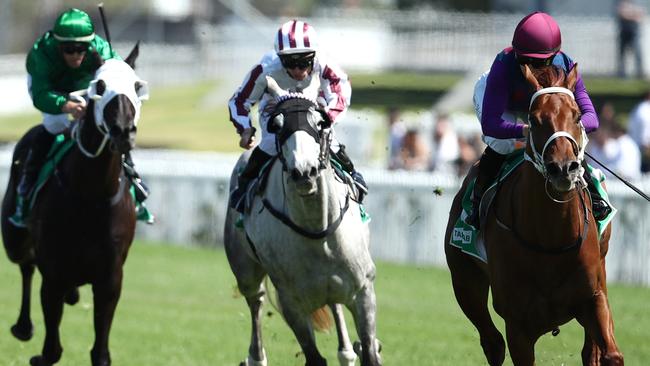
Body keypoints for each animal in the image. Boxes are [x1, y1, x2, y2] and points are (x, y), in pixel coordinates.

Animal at [0, 43, 147, 366]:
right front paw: (39, 355)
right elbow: (51, 349)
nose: (123, 131)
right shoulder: (53, 271)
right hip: (14, 239)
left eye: (135, 86)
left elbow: (100, 353)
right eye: (100, 86)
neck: (91, 195)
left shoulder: (110, 276)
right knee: (26, 265)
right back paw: (23, 326)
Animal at [442, 64, 620, 364]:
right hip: (465, 281)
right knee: (492, 342)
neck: (552, 239)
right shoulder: (518, 325)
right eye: (534, 120)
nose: (564, 168)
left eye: (577, 116)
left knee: (590, 350)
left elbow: (611, 354)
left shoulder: (593, 298)